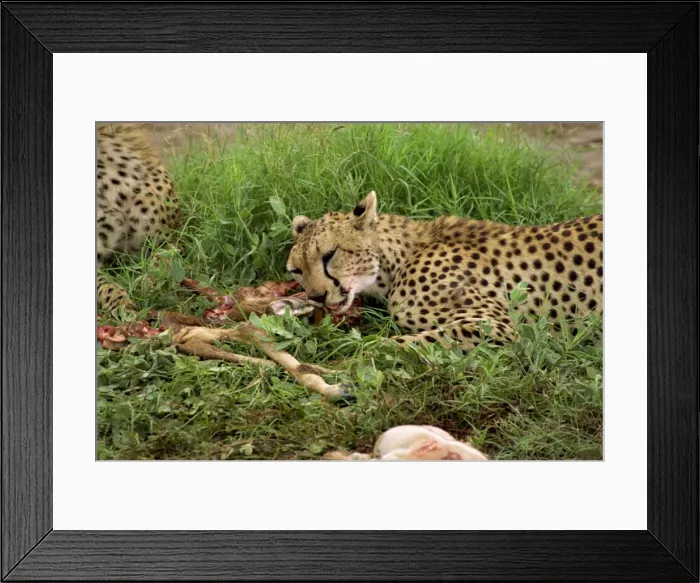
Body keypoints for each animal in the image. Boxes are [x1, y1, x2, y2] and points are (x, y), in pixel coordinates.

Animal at [286, 190, 603, 350]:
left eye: (329, 255)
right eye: (296, 271)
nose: (316, 297)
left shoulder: (498, 326)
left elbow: (395, 344)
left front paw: (349, 353)